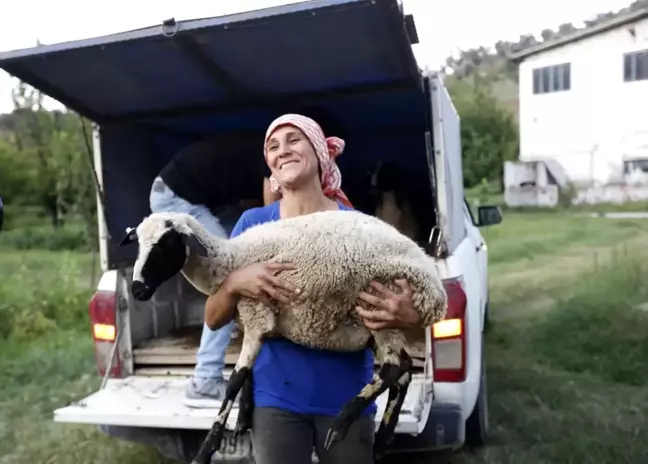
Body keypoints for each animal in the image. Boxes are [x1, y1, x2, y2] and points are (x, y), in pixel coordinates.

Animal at [119, 209, 448, 464]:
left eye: (165, 245)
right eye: (138, 246)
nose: (137, 290)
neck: (230, 261)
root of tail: (435, 287)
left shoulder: (256, 311)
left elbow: (234, 380)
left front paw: (205, 451)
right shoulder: (256, 321)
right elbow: (249, 375)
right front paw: (243, 417)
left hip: (379, 305)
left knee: (396, 366)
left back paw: (341, 424)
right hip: (377, 325)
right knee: (404, 371)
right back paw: (382, 440)